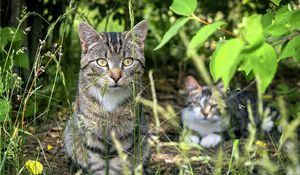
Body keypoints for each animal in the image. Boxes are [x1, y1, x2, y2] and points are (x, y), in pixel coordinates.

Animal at [64, 20, 151, 174]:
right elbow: (97, 164)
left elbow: (118, 165)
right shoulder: (90, 133)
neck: (111, 99)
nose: (116, 76)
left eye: (128, 61)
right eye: (102, 62)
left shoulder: (126, 135)